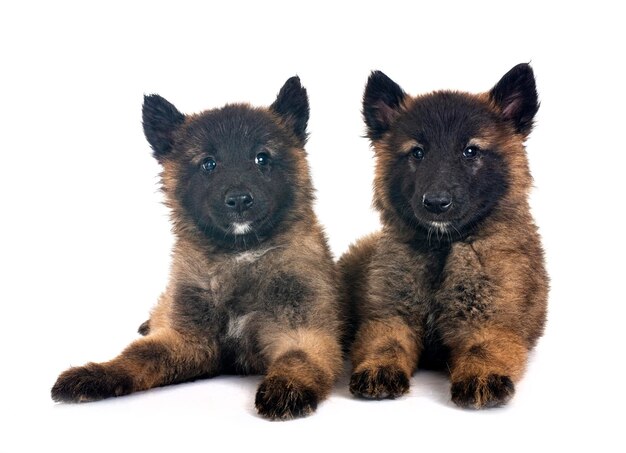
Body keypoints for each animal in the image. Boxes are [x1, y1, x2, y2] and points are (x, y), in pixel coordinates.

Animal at [51, 76, 342, 418]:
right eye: (208, 164)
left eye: (262, 158)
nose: (239, 200)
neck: (239, 255)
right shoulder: (189, 339)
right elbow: (138, 356)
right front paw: (98, 374)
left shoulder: (304, 331)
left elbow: (298, 357)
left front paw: (287, 386)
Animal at [338, 64, 548, 410]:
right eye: (417, 153)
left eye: (470, 151)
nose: (436, 203)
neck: (443, 248)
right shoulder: (390, 315)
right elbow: (386, 342)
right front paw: (380, 368)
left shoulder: (491, 320)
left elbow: (482, 347)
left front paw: (480, 375)